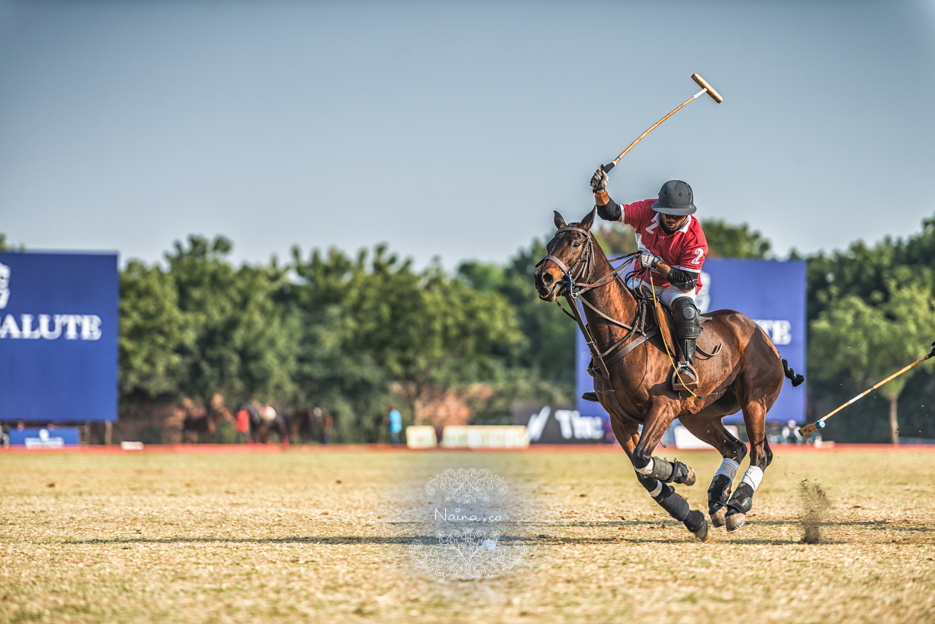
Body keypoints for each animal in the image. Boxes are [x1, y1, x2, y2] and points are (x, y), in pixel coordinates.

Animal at [532, 210, 804, 540]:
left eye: (574, 243)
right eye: (549, 244)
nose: (543, 279)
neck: (621, 334)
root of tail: (766, 338)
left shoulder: (663, 406)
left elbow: (642, 458)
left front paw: (682, 473)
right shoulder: (619, 419)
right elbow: (642, 470)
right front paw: (691, 511)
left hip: (754, 401)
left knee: (761, 453)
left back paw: (737, 506)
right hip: (699, 415)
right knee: (735, 447)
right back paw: (717, 499)